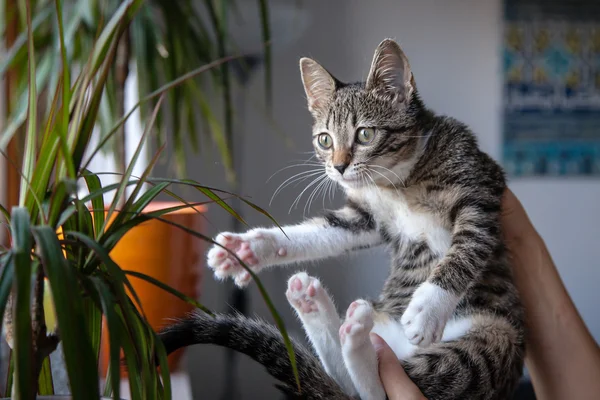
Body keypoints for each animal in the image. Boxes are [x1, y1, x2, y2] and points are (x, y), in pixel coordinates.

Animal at [158, 38, 524, 400]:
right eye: (325, 140)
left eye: (364, 135)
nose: (338, 166)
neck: (398, 181)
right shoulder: (364, 216)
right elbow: (320, 231)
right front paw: (249, 248)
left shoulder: (479, 188)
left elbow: (468, 246)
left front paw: (428, 309)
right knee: (358, 385)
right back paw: (320, 310)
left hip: (494, 340)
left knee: (406, 382)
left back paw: (354, 335)